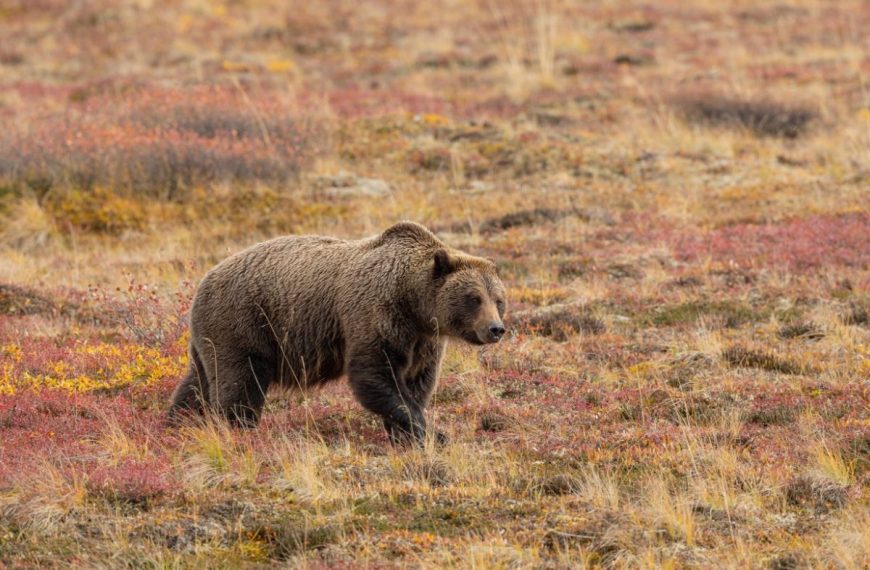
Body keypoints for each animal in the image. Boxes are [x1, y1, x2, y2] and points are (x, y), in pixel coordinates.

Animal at [168, 221, 507, 444]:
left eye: (499, 299)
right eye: (474, 298)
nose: (495, 329)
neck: (413, 304)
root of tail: (204, 281)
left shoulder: (423, 342)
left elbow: (417, 381)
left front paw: (407, 433)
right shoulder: (374, 316)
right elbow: (375, 375)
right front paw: (429, 431)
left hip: (210, 339)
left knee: (196, 384)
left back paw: (176, 423)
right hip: (243, 324)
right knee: (239, 383)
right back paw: (239, 428)